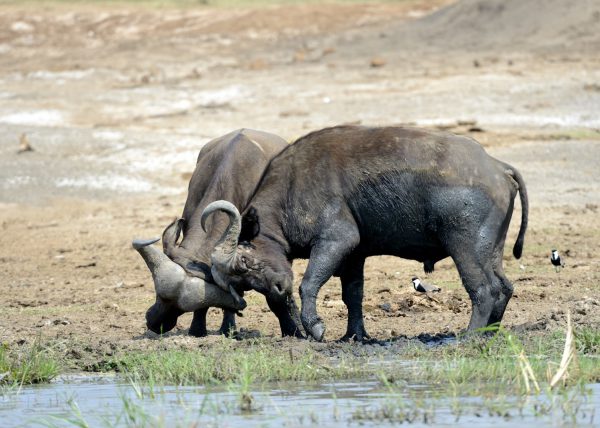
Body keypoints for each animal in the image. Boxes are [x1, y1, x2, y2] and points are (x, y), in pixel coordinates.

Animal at [134, 129, 302, 336]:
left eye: (180, 308)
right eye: (160, 295)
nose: (154, 322)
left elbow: (276, 297)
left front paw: (292, 330)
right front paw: (200, 329)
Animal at [200, 124, 524, 342]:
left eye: (245, 260)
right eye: (242, 282)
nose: (278, 289)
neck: (291, 188)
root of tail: (496, 166)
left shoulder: (336, 240)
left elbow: (309, 283)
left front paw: (315, 327)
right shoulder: (355, 254)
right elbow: (352, 295)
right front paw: (354, 336)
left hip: (464, 246)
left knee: (483, 289)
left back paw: (470, 335)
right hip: (490, 249)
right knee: (504, 287)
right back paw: (491, 331)